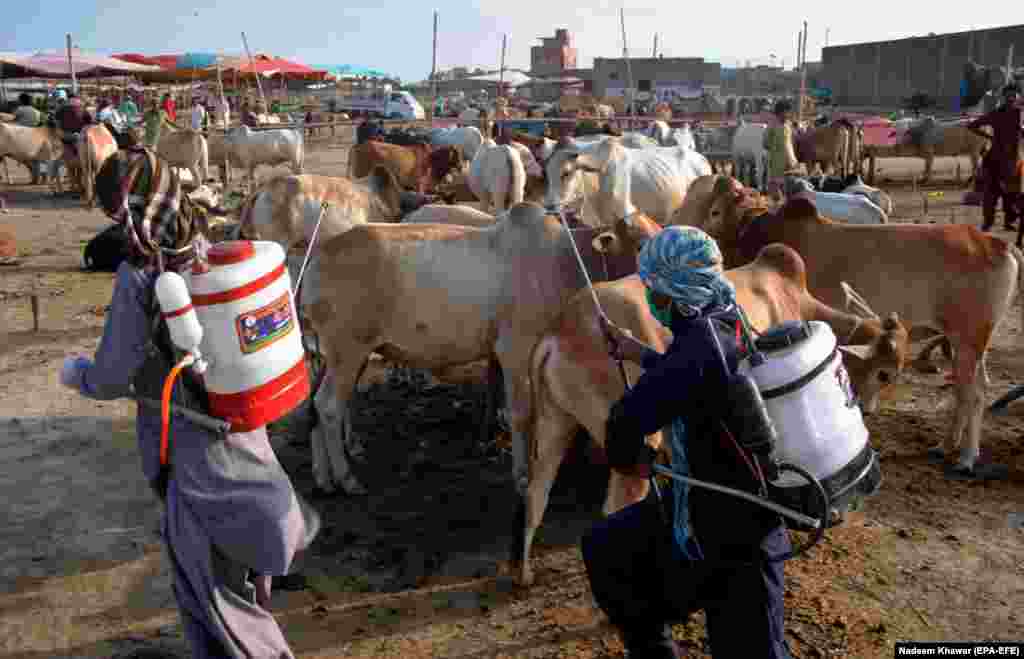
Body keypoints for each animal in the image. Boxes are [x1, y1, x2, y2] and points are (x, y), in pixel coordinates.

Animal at [520, 244, 913, 585]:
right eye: (884, 373)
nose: (869, 408)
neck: (792, 298)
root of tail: (558, 333)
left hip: (555, 425)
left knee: (536, 494)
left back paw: (523, 574)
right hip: (632, 442)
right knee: (615, 506)